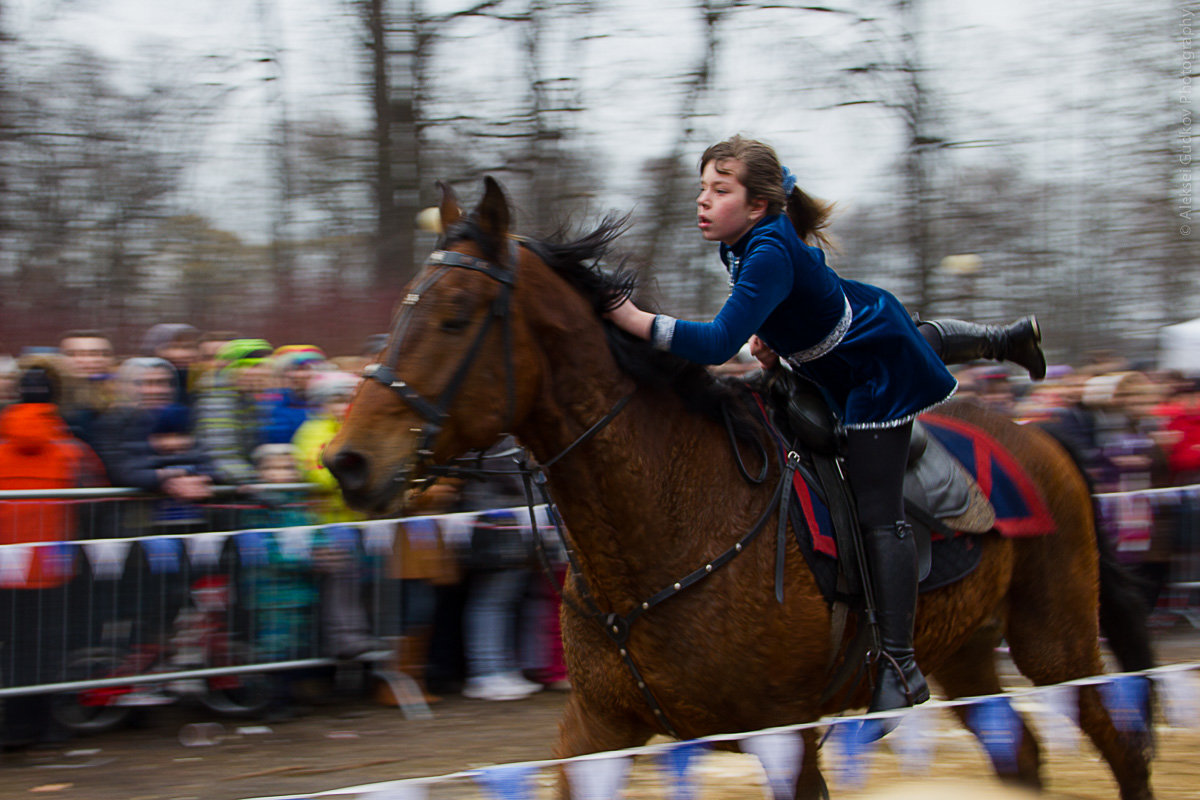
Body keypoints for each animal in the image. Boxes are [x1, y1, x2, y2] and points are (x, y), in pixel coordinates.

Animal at [324, 181, 1156, 800]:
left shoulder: (785, 735)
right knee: (1021, 754)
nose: (348, 461)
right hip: (967, 651)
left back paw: (1018, 342)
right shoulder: (598, 726)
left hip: (1056, 642)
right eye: (401, 309)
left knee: (1121, 748)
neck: (659, 524)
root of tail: (1044, 437)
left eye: (454, 316)